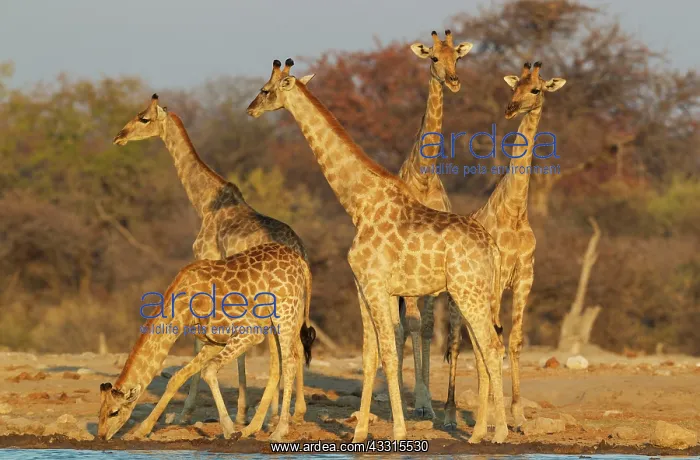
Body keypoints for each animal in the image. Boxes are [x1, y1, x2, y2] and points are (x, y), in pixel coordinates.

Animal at [98, 243, 313, 442]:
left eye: (114, 412)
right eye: (99, 412)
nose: (101, 436)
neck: (184, 308)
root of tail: (301, 262)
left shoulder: (250, 331)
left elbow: (208, 370)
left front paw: (229, 430)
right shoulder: (213, 342)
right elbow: (178, 377)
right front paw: (141, 431)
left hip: (284, 314)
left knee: (290, 360)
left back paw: (278, 431)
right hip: (278, 321)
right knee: (279, 365)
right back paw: (251, 429)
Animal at [113, 96, 315, 426]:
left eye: (143, 118)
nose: (119, 136)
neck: (205, 202)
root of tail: (301, 252)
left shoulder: (207, 265)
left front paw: (191, 411)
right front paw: (243, 412)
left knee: (287, 347)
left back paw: (278, 415)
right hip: (293, 303)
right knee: (294, 344)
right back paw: (292, 412)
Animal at [246, 59, 507, 443]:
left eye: (266, 90)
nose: (250, 110)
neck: (359, 204)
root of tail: (493, 248)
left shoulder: (374, 284)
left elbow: (388, 350)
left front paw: (398, 430)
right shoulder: (362, 286)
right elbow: (370, 355)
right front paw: (360, 432)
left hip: (468, 292)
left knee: (491, 347)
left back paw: (500, 432)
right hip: (476, 294)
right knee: (485, 349)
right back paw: (477, 434)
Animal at [442, 61, 567, 429]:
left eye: (536, 89)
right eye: (514, 86)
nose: (511, 108)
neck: (513, 212)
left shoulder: (525, 276)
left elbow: (514, 340)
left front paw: (518, 414)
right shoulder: (497, 282)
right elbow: (488, 341)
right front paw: (493, 417)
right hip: (456, 298)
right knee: (456, 342)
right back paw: (450, 413)